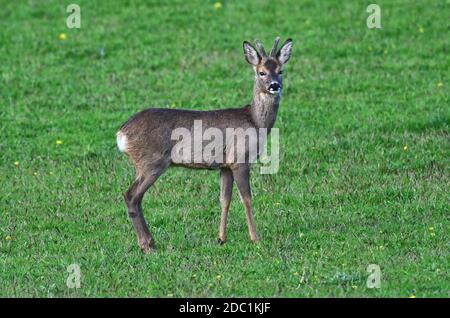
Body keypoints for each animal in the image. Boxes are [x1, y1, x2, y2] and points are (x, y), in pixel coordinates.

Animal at [117, 37, 292, 252]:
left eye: (281, 70)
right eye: (261, 72)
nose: (275, 85)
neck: (255, 121)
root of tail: (121, 133)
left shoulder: (225, 165)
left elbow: (224, 200)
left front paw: (221, 238)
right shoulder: (240, 160)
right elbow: (247, 199)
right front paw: (255, 238)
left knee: (135, 197)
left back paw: (150, 242)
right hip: (152, 162)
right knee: (131, 195)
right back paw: (147, 245)